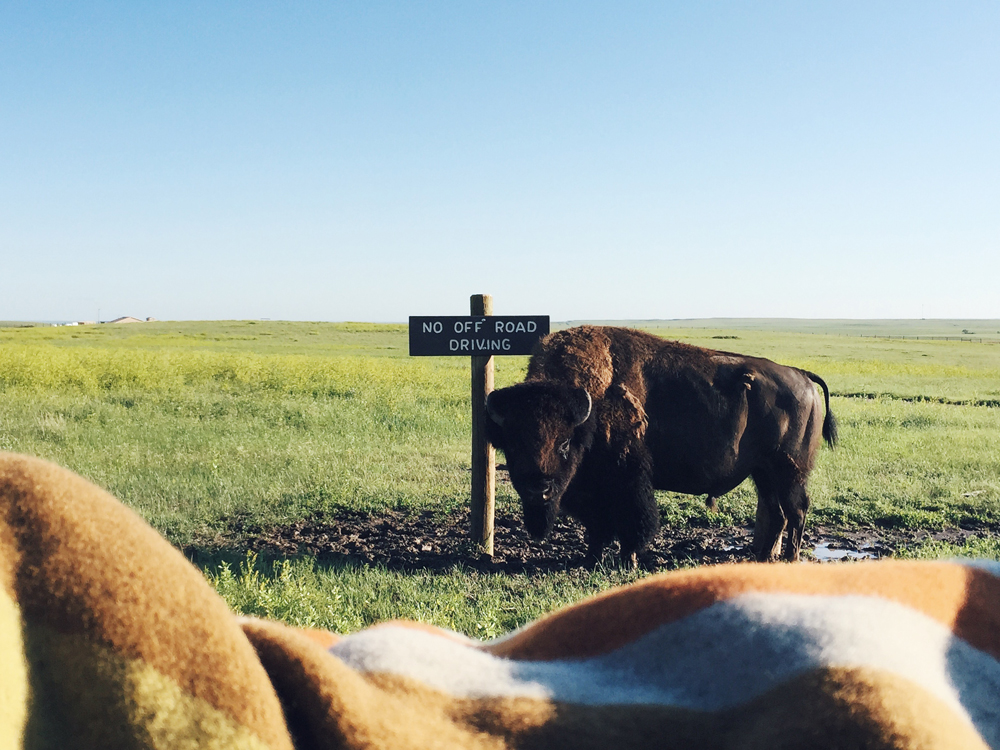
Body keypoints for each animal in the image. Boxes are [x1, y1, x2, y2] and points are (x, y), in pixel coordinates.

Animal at [484, 326, 836, 568]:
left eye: (564, 443)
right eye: (512, 444)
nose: (539, 489)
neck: (588, 411)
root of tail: (803, 377)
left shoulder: (627, 480)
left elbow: (631, 522)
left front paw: (627, 561)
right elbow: (597, 527)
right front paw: (591, 559)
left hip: (789, 472)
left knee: (797, 512)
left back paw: (789, 559)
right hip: (763, 473)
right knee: (777, 514)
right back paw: (761, 559)